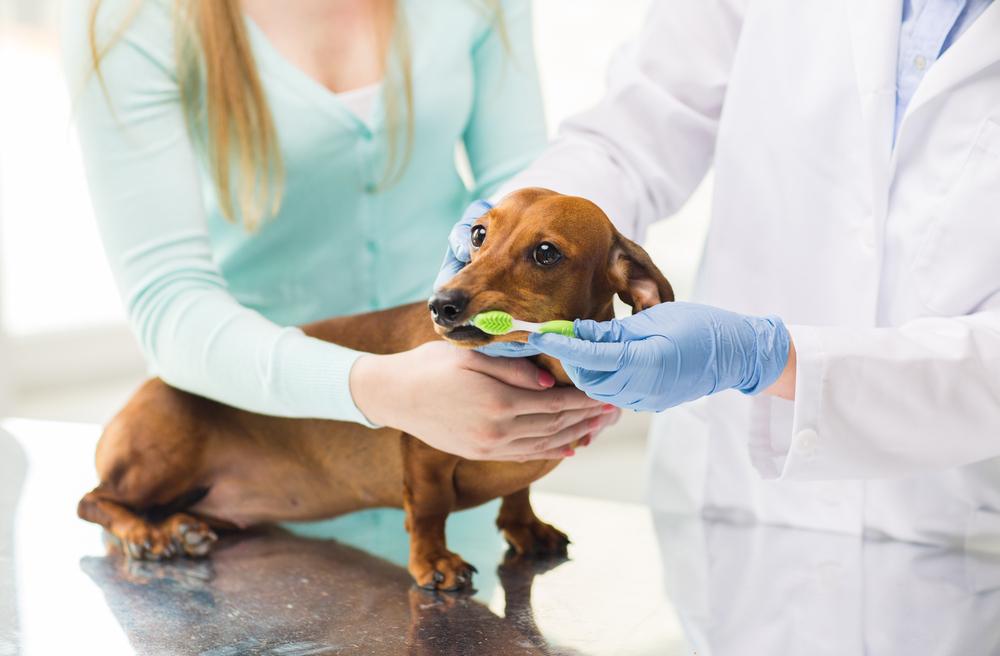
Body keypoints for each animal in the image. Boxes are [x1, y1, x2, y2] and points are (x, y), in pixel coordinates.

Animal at [76, 188, 672, 588]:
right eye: (478, 234)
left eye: (546, 253)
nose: (441, 304)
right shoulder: (426, 455)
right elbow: (429, 511)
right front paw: (434, 562)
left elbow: (518, 489)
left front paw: (524, 526)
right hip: (161, 457)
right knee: (94, 501)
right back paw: (146, 534)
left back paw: (182, 528)